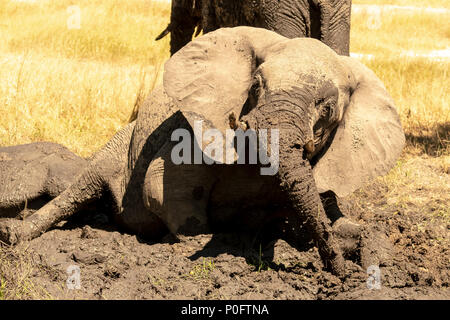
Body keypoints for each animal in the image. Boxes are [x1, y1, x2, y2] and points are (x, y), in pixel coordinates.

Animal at [0, 26, 406, 278]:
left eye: (328, 110)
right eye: (255, 86)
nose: (338, 272)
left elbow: (328, 211)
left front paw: (369, 254)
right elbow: (164, 183)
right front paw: (224, 243)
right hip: (116, 147)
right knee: (81, 189)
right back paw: (13, 235)